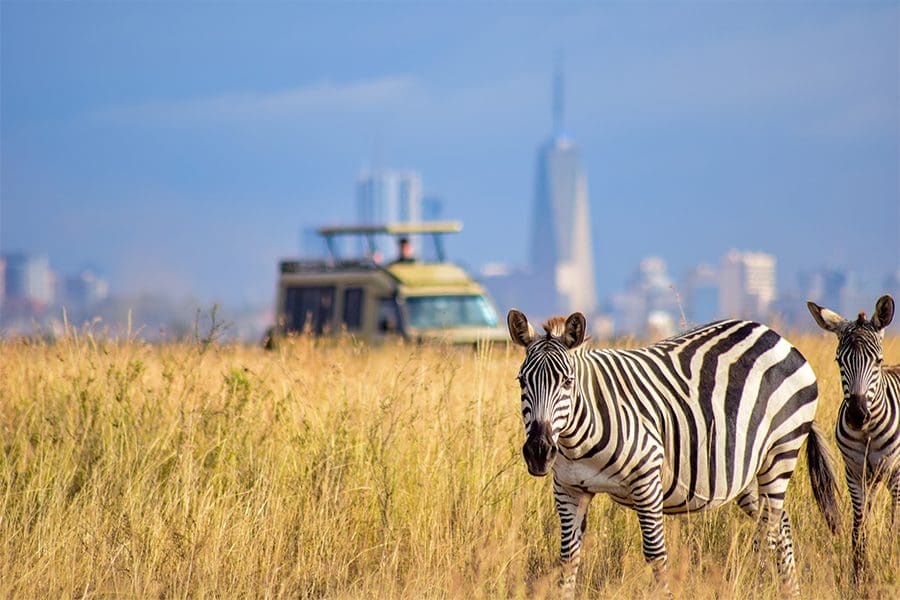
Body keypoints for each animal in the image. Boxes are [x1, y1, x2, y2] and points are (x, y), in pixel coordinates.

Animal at [506, 310, 844, 596]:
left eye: (567, 382)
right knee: (781, 523)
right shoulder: (569, 489)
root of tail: (774, 335)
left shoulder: (646, 480)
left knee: (769, 534)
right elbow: (567, 559)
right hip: (744, 470)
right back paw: (790, 591)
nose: (539, 452)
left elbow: (656, 557)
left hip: (781, 450)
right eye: (522, 382)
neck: (577, 440)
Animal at [804, 292, 896, 580]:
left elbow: (894, 523)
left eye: (877, 361)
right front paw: (859, 572)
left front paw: (890, 562)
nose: (856, 415)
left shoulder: (896, 474)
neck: (868, 432)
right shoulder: (854, 473)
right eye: (838, 361)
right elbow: (860, 526)